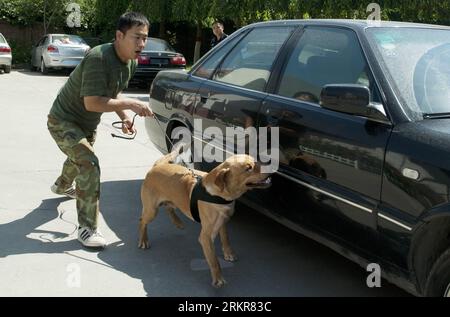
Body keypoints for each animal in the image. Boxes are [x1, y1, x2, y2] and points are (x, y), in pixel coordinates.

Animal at [138, 146, 270, 286]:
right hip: (151, 211)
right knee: (142, 220)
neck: (220, 195)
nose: (271, 165)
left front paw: (228, 253)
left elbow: (225, 238)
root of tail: (156, 166)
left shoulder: (223, 221)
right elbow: (213, 260)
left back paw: (178, 222)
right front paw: (218, 278)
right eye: (248, 168)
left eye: (255, 161)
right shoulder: (206, 236)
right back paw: (143, 240)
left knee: (169, 207)